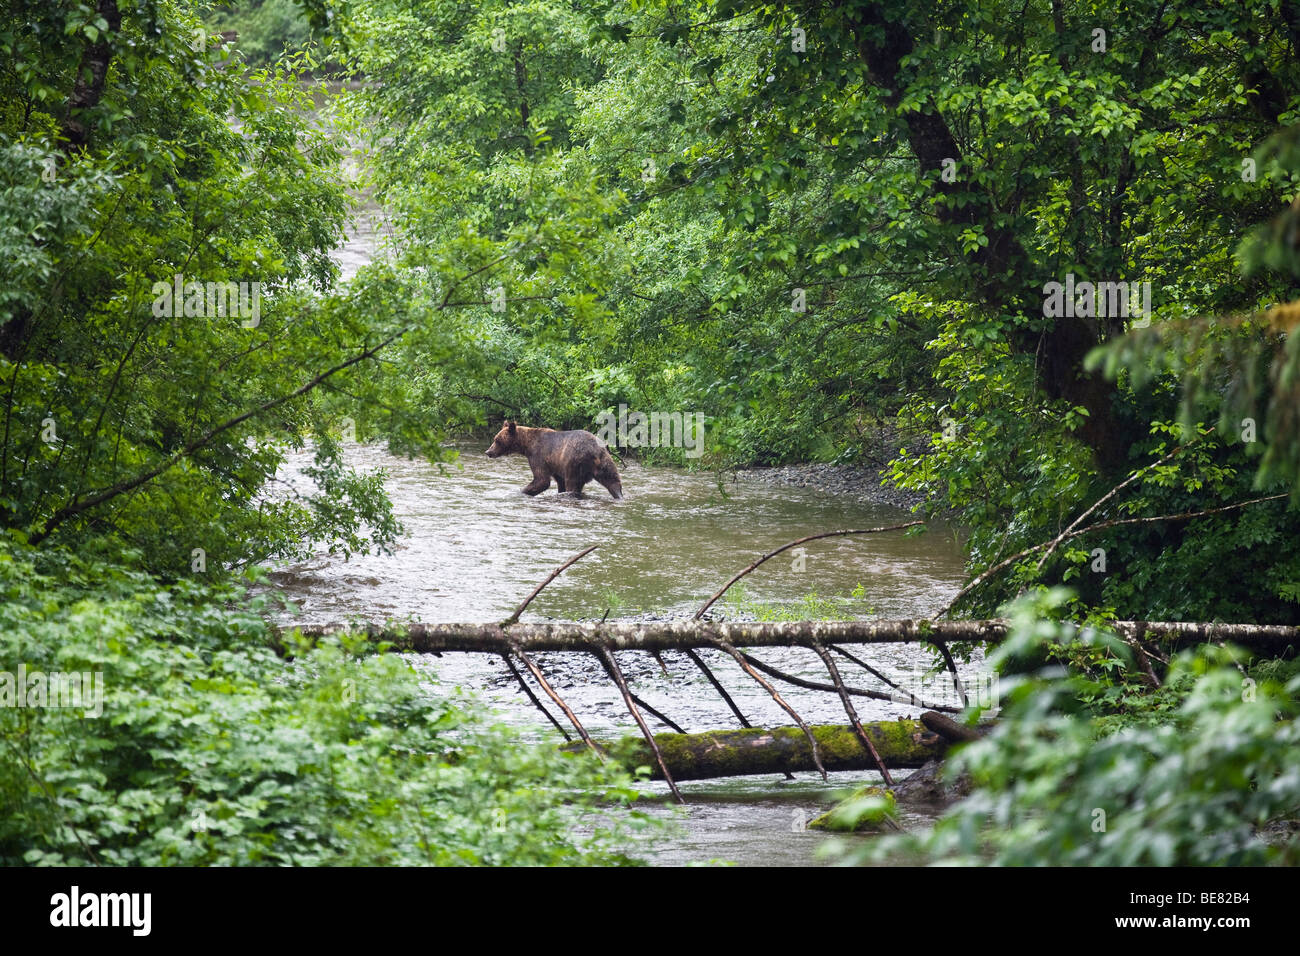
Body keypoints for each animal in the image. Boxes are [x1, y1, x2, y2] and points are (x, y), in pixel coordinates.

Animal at [485, 420, 623, 499]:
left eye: (497, 440)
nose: (488, 452)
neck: (526, 445)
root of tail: (595, 450)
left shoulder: (538, 455)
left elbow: (542, 480)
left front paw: (521, 491)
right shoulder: (555, 465)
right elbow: (559, 482)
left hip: (574, 462)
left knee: (572, 483)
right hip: (605, 461)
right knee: (613, 481)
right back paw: (619, 496)